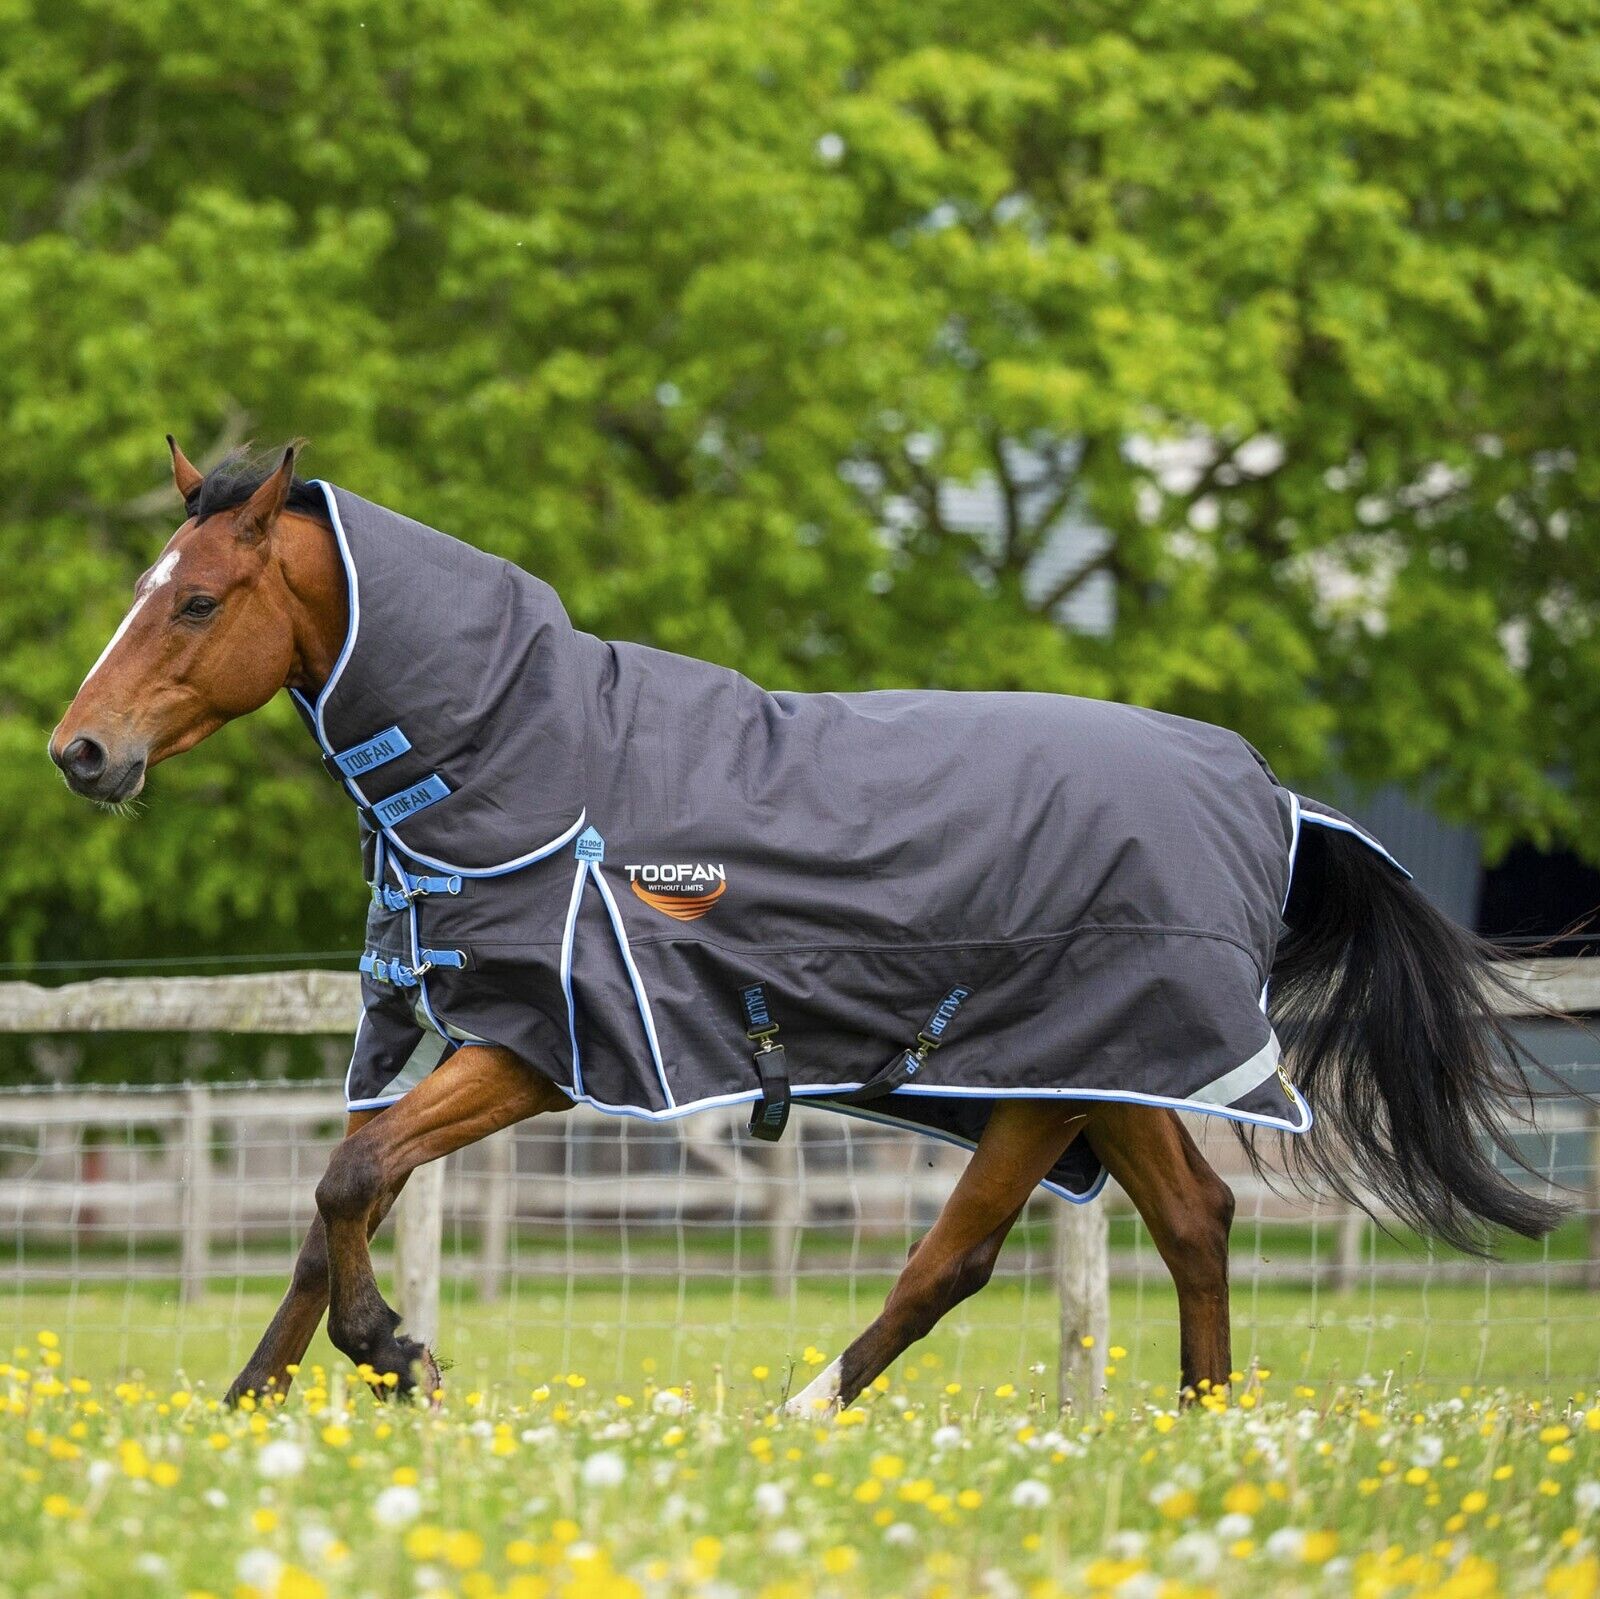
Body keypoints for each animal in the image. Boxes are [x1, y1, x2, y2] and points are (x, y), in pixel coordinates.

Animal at [48, 439, 1562, 1411]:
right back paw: (1199, 1426)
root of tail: (1272, 794)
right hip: (1086, 1070)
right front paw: (251, 1405)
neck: (528, 754)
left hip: (1064, 1067)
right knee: (1162, 1223)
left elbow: (351, 1181)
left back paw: (808, 1418)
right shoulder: (457, 1025)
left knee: (986, 1251)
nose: (81, 753)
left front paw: (390, 1351)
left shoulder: (540, 1048)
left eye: (197, 598)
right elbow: (334, 1202)